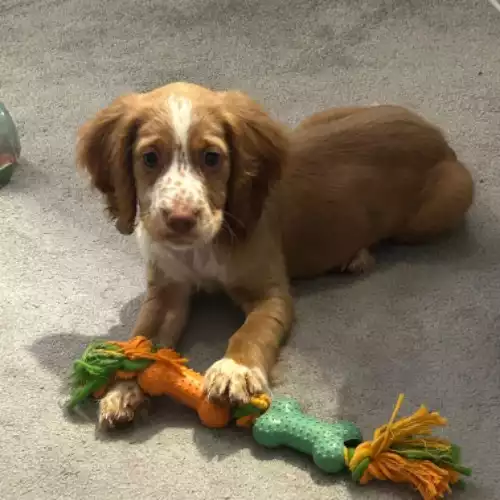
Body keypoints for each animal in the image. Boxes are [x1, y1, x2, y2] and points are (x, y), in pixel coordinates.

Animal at [76, 81, 474, 426]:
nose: (180, 220)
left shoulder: (271, 295)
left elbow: (250, 332)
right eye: (149, 158)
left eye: (212, 158)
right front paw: (123, 388)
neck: (201, 249)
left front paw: (235, 371)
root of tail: (437, 137)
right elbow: (143, 340)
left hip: (446, 202)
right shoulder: (166, 291)